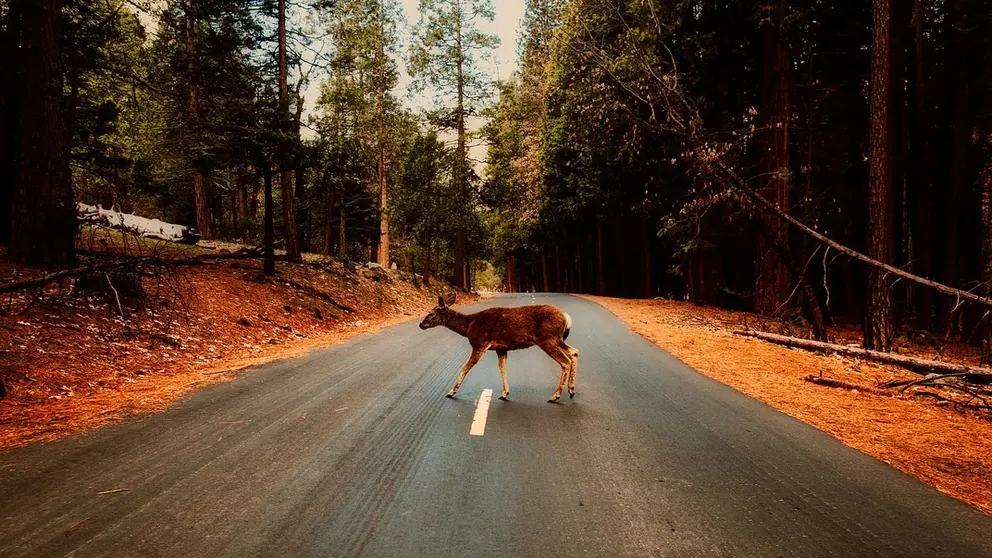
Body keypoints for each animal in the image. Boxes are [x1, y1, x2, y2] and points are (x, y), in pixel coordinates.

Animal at [420, 296, 580, 404]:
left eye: (432, 314)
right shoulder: (501, 348)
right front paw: (505, 393)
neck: (468, 326)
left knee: (565, 361)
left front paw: (451, 392)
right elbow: (502, 368)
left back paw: (555, 396)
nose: (421, 324)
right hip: (558, 340)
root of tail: (567, 317)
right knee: (575, 352)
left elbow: (466, 367)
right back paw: (571, 390)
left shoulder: (480, 344)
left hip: (548, 339)